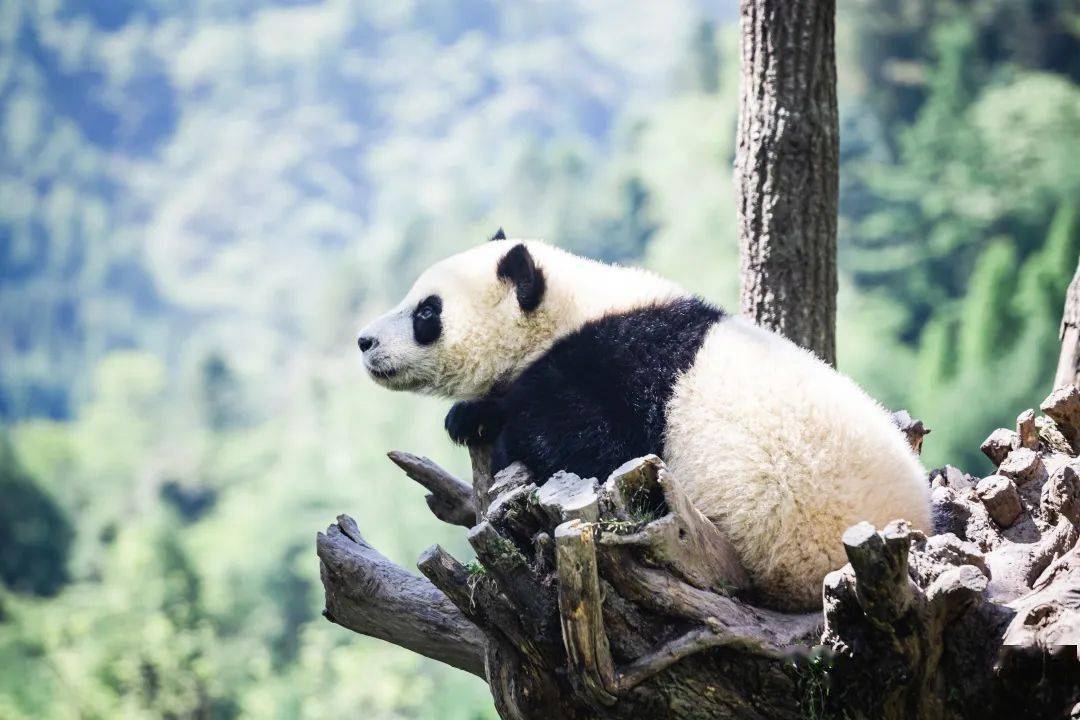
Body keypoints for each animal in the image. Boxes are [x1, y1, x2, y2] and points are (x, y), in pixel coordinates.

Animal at [358, 235, 933, 608]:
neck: (565, 311)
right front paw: (469, 415)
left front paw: (498, 435)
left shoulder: (617, 368)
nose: (365, 340)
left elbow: (590, 444)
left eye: (426, 312)